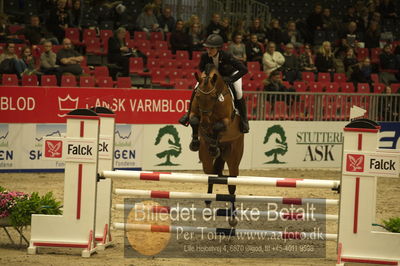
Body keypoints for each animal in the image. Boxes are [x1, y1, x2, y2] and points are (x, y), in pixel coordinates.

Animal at [188, 64, 244, 218]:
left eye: (213, 97)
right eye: (198, 96)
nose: (205, 123)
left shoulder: (226, 121)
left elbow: (218, 126)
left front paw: (213, 141)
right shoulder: (195, 113)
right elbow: (194, 120)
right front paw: (195, 143)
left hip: (234, 154)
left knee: (231, 182)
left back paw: (232, 215)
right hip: (206, 157)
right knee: (211, 173)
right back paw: (208, 201)